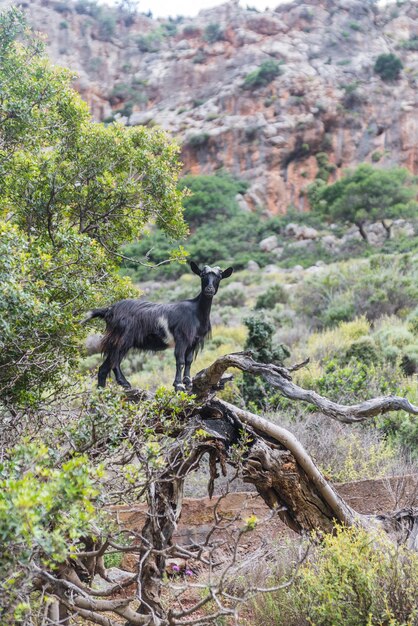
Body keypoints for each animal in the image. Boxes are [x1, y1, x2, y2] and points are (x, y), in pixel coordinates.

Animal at [83, 260, 233, 388]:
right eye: (202, 275)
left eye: (219, 276)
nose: (209, 290)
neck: (196, 312)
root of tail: (109, 310)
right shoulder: (182, 338)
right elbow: (180, 360)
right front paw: (178, 384)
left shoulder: (194, 341)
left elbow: (189, 360)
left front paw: (187, 381)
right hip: (122, 338)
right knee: (114, 361)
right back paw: (123, 383)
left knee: (104, 368)